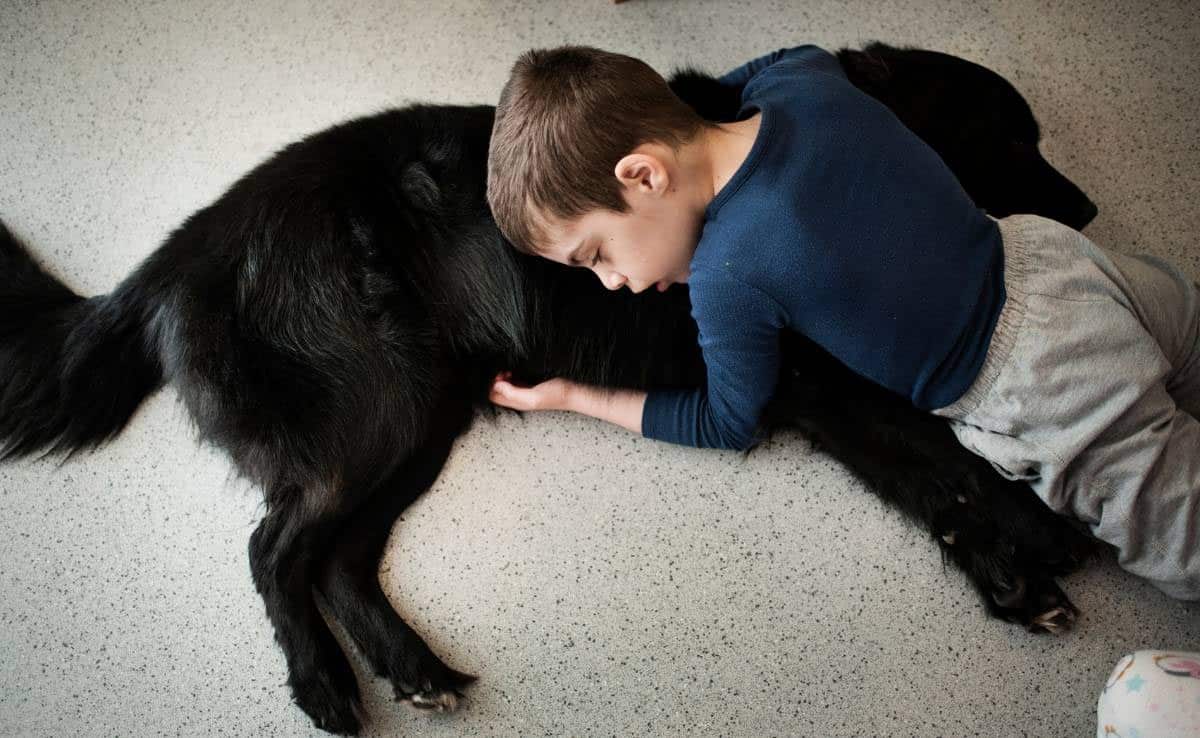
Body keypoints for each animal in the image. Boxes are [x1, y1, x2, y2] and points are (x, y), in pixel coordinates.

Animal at [0, 44, 1099, 734]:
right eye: (1014, 137)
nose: (1090, 208)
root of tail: (182, 249)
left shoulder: (814, 394)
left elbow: (921, 471)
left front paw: (1005, 573)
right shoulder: (815, 380)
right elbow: (941, 453)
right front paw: (1038, 535)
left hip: (425, 415)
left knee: (341, 560)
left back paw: (413, 669)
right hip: (378, 411)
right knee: (275, 549)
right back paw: (323, 686)